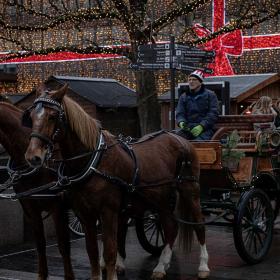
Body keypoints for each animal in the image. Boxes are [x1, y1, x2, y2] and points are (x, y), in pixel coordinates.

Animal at [25, 83, 210, 280]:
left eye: (52, 116)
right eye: (31, 116)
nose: (33, 156)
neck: (94, 161)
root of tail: (179, 137)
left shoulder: (108, 211)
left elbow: (110, 251)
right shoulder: (85, 214)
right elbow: (92, 251)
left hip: (190, 190)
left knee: (199, 225)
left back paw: (203, 266)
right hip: (160, 199)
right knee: (170, 226)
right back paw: (161, 265)